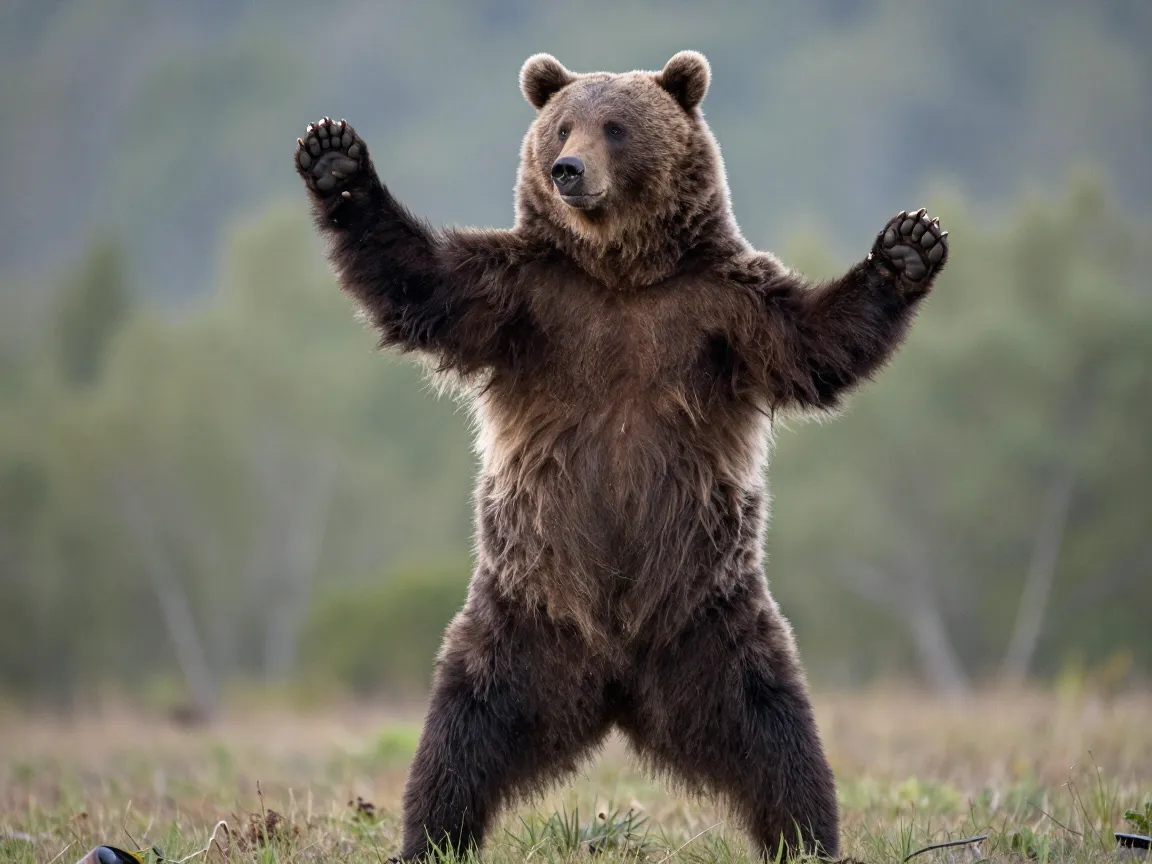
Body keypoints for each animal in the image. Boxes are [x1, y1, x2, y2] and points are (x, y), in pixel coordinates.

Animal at [294, 50, 947, 862]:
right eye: (561, 126)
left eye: (616, 126)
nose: (568, 170)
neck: (621, 272)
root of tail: (615, 684)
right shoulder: (524, 297)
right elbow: (421, 280)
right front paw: (335, 159)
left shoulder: (724, 310)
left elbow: (817, 342)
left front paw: (908, 247)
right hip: (521, 622)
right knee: (459, 735)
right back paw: (430, 836)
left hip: (716, 627)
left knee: (779, 739)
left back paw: (806, 836)